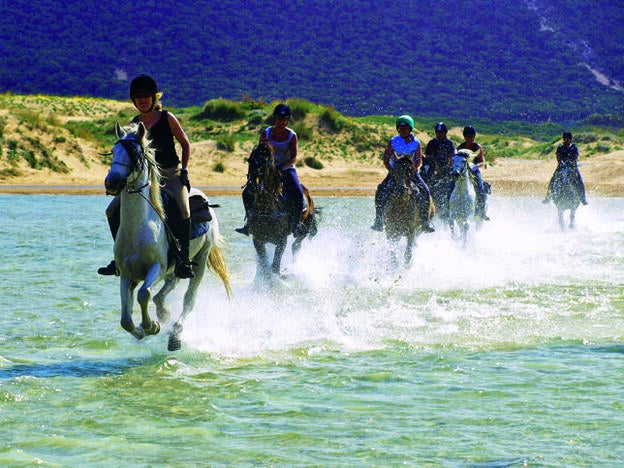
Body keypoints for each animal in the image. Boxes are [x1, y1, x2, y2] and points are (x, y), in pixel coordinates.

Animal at [105, 122, 232, 350]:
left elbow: (143, 294)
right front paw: (142, 329)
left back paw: (175, 334)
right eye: (113, 150)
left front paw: (151, 326)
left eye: (134, 153)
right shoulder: (127, 274)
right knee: (167, 288)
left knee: (189, 299)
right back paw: (163, 313)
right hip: (175, 269)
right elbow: (125, 319)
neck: (139, 229)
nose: (111, 182)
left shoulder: (157, 268)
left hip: (199, 260)